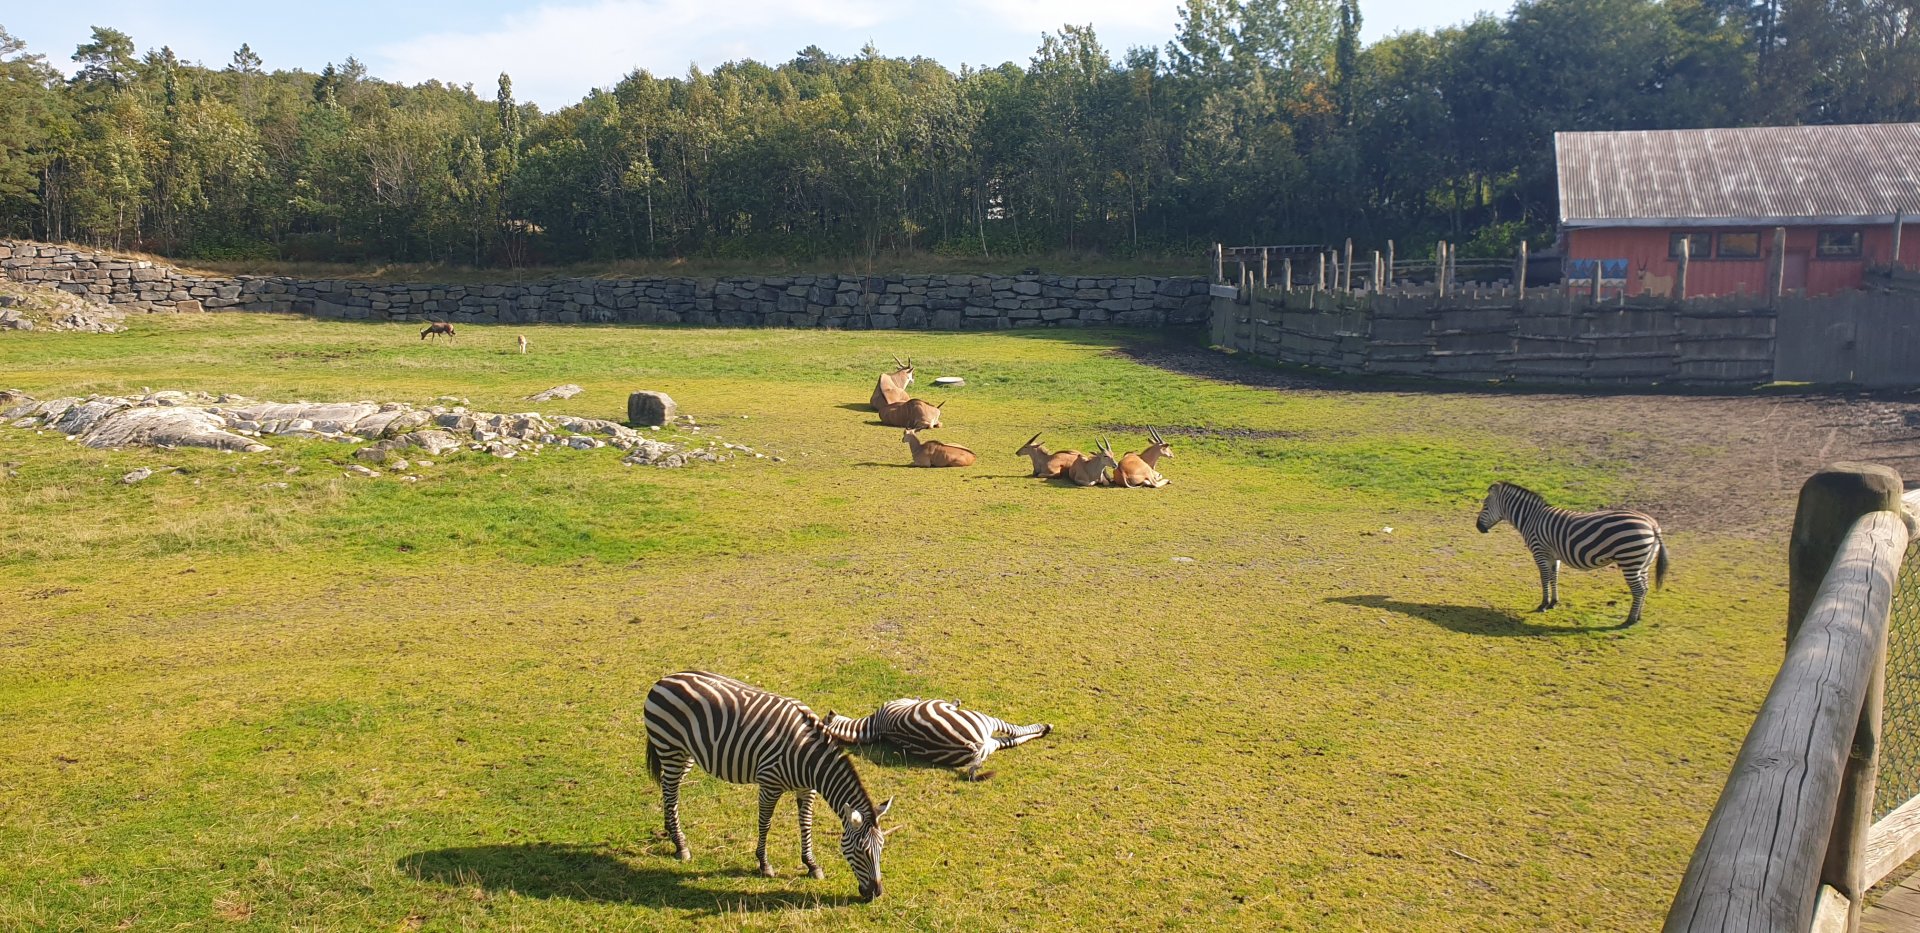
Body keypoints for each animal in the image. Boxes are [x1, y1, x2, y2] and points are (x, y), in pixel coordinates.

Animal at [643, 671, 895, 900]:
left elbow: (806, 824)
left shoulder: (807, 789)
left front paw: (811, 865)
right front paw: (764, 865)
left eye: (881, 848)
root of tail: (665, 679)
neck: (809, 759)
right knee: (671, 790)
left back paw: (671, 831)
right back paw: (680, 845)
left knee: (670, 788)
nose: (877, 893)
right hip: (670, 748)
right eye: (861, 851)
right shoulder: (769, 784)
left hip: (685, 755)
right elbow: (765, 824)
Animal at [822, 699, 1052, 781]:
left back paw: (1042, 731)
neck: (874, 725)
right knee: (1015, 731)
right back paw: (1045, 727)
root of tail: (968, 747)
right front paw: (955, 702)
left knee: (1015, 739)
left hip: (989, 744)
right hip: (986, 722)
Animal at [1475, 481, 1671, 626]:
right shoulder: (1554, 556)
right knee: (1645, 587)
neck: (1530, 519)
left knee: (1638, 589)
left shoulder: (1540, 552)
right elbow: (1554, 577)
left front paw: (1543, 604)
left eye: (1485, 506)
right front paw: (1554, 602)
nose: (1478, 528)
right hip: (1642, 562)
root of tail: (1652, 525)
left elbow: (1544, 577)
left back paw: (1630, 620)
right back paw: (1638, 617)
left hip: (1629, 559)